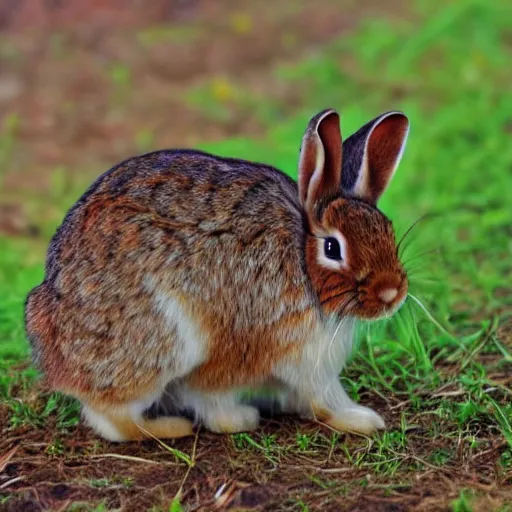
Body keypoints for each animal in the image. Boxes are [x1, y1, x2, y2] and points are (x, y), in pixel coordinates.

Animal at [24, 107, 410, 440]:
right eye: (333, 248)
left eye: (388, 230)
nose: (392, 293)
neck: (303, 264)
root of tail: (55, 357)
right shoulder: (275, 350)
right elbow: (308, 397)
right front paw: (360, 419)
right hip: (159, 345)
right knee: (113, 418)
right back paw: (170, 427)